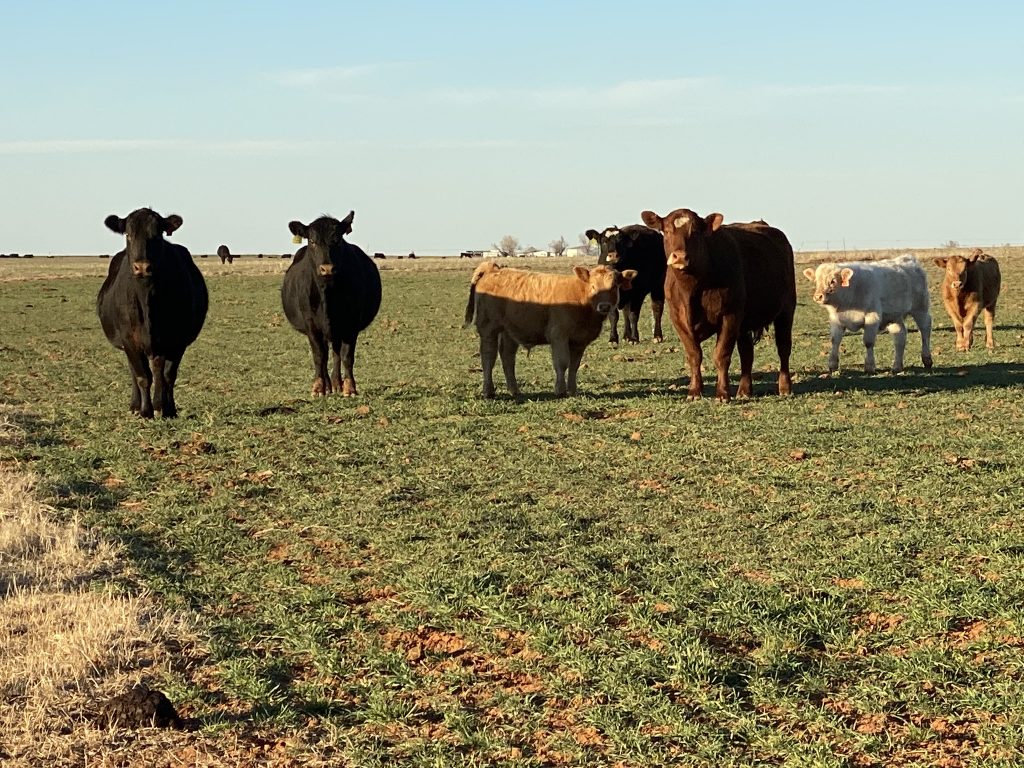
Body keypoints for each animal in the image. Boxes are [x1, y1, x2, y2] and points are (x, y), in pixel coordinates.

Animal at [97, 208, 208, 418]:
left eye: (157, 235)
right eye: (128, 234)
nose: (142, 267)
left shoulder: (174, 339)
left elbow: (166, 375)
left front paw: (165, 408)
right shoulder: (129, 340)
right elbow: (142, 376)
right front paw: (145, 411)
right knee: (134, 372)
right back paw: (135, 406)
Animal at [281, 211, 382, 397]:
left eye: (338, 240)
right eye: (312, 241)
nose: (327, 268)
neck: (327, 296)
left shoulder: (351, 323)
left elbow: (346, 356)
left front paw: (349, 387)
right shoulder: (311, 324)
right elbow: (319, 356)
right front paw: (318, 387)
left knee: (335, 353)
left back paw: (336, 383)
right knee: (325, 354)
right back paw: (327, 385)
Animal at [464, 261, 636, 398]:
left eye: (614, 287)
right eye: (593, 286)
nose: (604, 306)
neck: (582, 298)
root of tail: (492, 269)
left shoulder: (579, 341)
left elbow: (574, 366)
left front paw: (573, 390)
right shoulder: (559, 336)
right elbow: (562, 362)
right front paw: (560, 390)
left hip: (509, 331)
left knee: (507, 357)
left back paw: (515, 390)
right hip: (488, 328)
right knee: (488, 357)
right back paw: (488, 391)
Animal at [640, 209, 797, 401]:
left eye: (695, 232)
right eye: (667, 231)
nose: (680, 256)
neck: (692, 288)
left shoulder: (730, 315)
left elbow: (722, 355)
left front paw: (722, 393)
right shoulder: (678, 319)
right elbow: (694, 355)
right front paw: (694, 392)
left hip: (786, 310)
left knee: (783, 348)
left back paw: (785, 387)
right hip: (745, 324)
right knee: (746, 353)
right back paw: (744, 391)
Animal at [803, 254, 933, 375]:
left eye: (833, 281)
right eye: (816, 281)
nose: (818, 296)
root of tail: (908, 258)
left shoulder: (872, 317)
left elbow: (868, 342)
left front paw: (869, 366)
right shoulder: (837, 320)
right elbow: (835, 340)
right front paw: (832, 365)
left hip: (920, 307)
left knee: (925, 328)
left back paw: (927, 359)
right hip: (894, 316)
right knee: (900, 336)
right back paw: (897, 366)